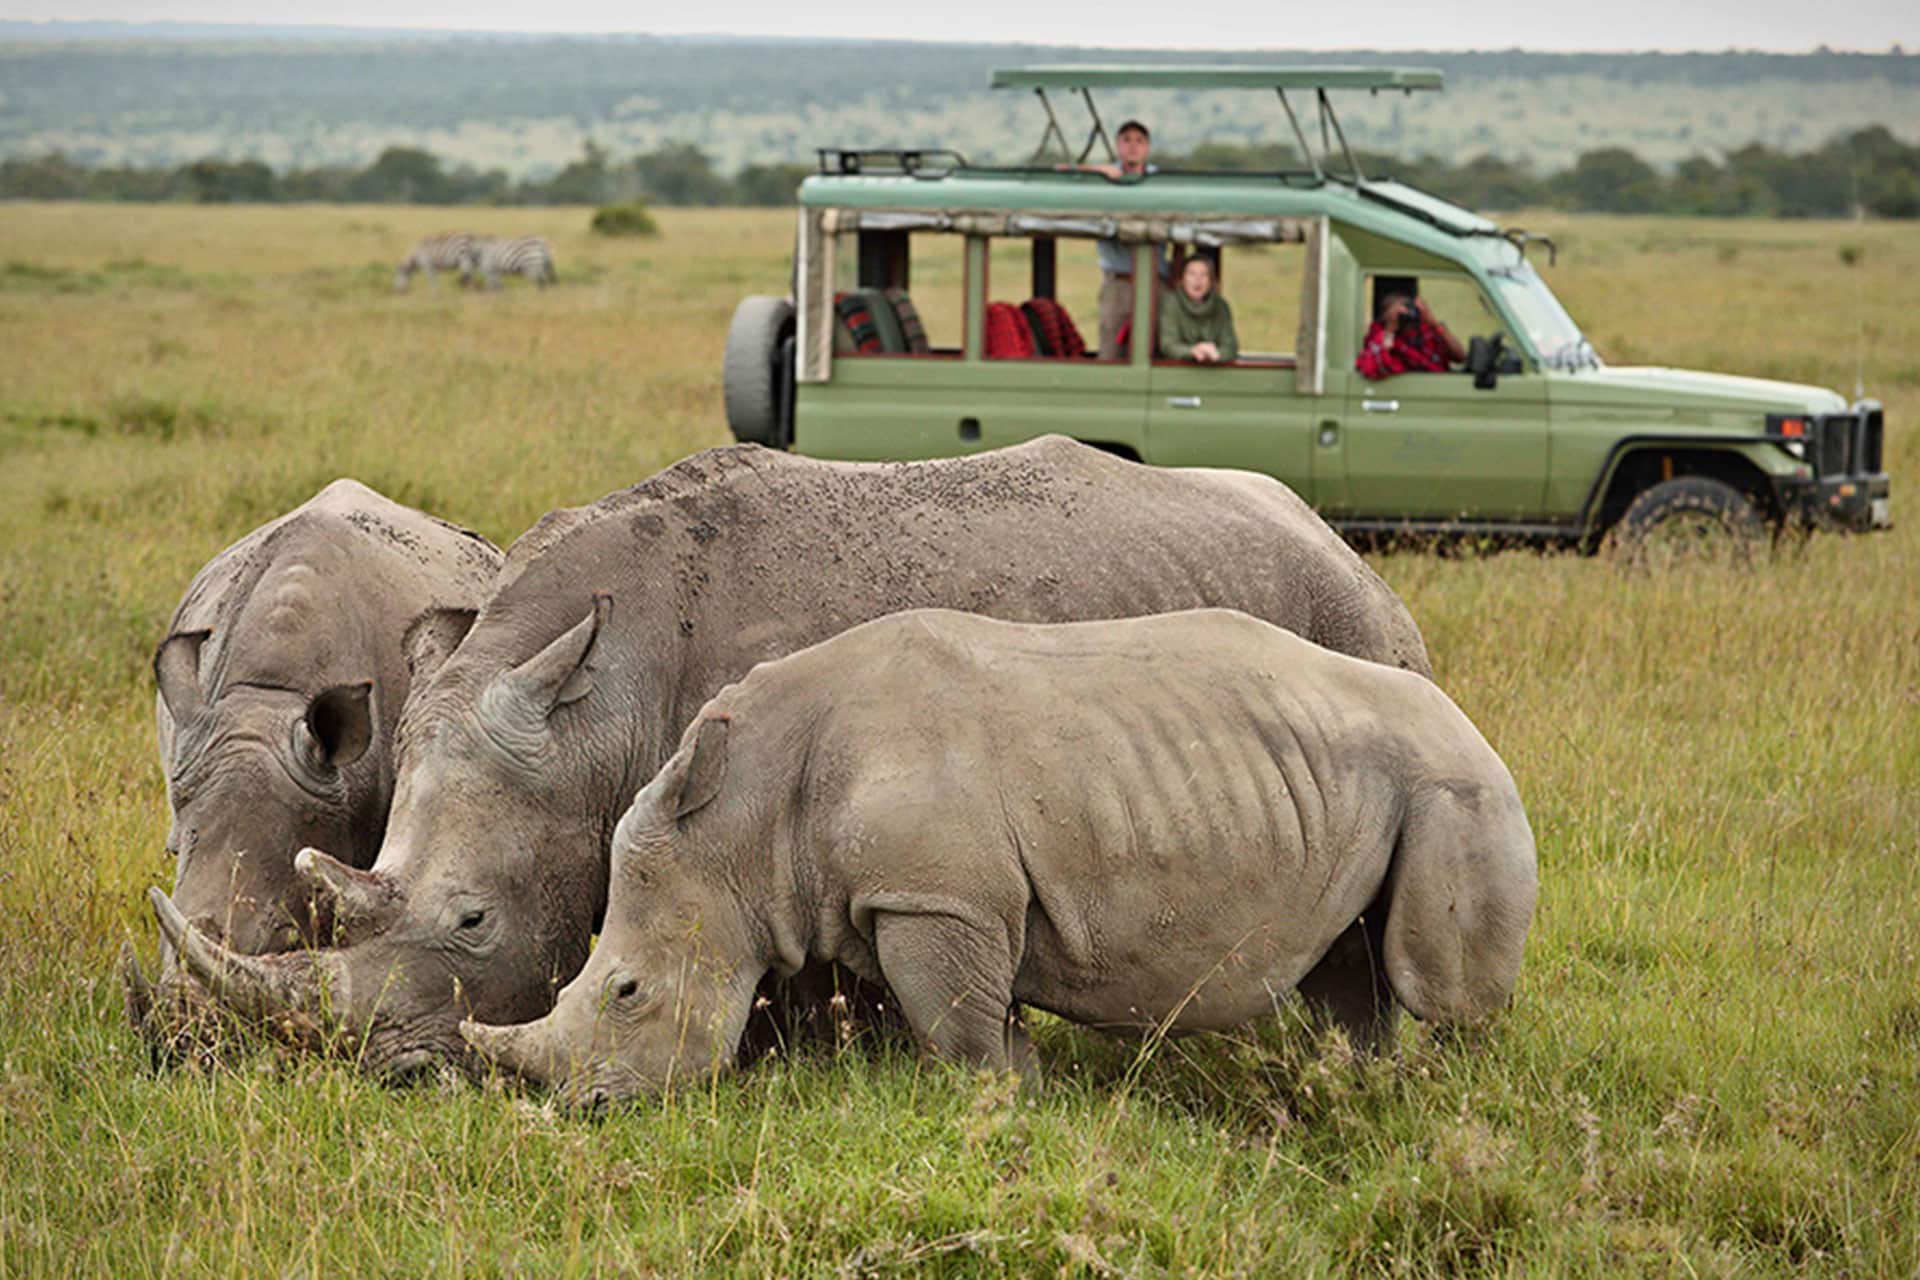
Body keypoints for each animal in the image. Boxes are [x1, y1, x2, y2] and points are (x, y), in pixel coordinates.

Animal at [455, 608, 1537, 1102]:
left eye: (627, 991)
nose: (587, 1106)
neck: (744, 817)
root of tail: (1470, 721)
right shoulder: (929, 899)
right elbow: (979, 1017)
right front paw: (1034, 1092)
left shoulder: (937, 899)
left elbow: (960, 1032)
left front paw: (1006, 1102)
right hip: (1377, 781)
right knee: (1348, 973)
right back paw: (1354, 1088)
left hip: (1458, 787)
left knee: (1434, 981)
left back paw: (1456, 1100)